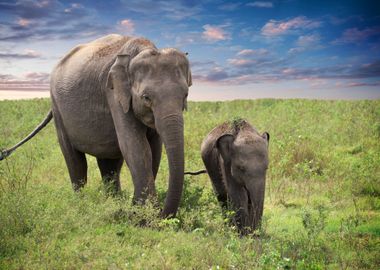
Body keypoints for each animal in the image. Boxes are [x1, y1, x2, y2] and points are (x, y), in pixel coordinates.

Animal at [2, 34, 193, 218]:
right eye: (146, 98)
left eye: (185, 95)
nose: (164, 214)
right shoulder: (114, 94)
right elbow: (136, 145)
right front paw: (144, 216)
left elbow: (154, 148)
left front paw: (139, 211)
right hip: (57, 108)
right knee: (75, 160)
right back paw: (81, 203)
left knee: (109, 164)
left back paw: (113, 201)